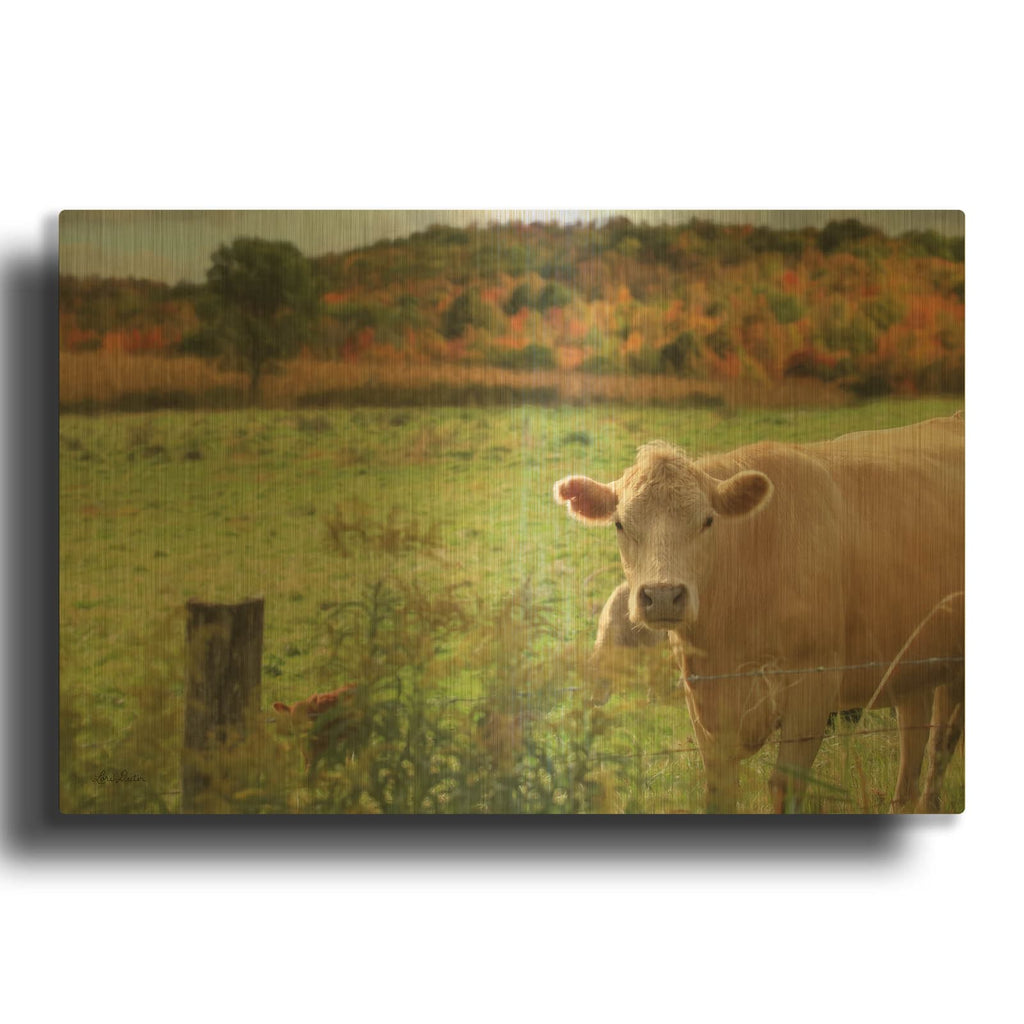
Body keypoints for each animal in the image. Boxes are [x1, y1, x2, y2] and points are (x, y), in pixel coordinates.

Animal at [554, 414, 964, 813]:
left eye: (708, 521)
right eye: (620, 524)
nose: (664, 595)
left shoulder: (814, 685)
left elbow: (785, 786)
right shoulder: (705, 704)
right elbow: (720, 792)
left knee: (942, 741)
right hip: (911, 663)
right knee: (914, 737)